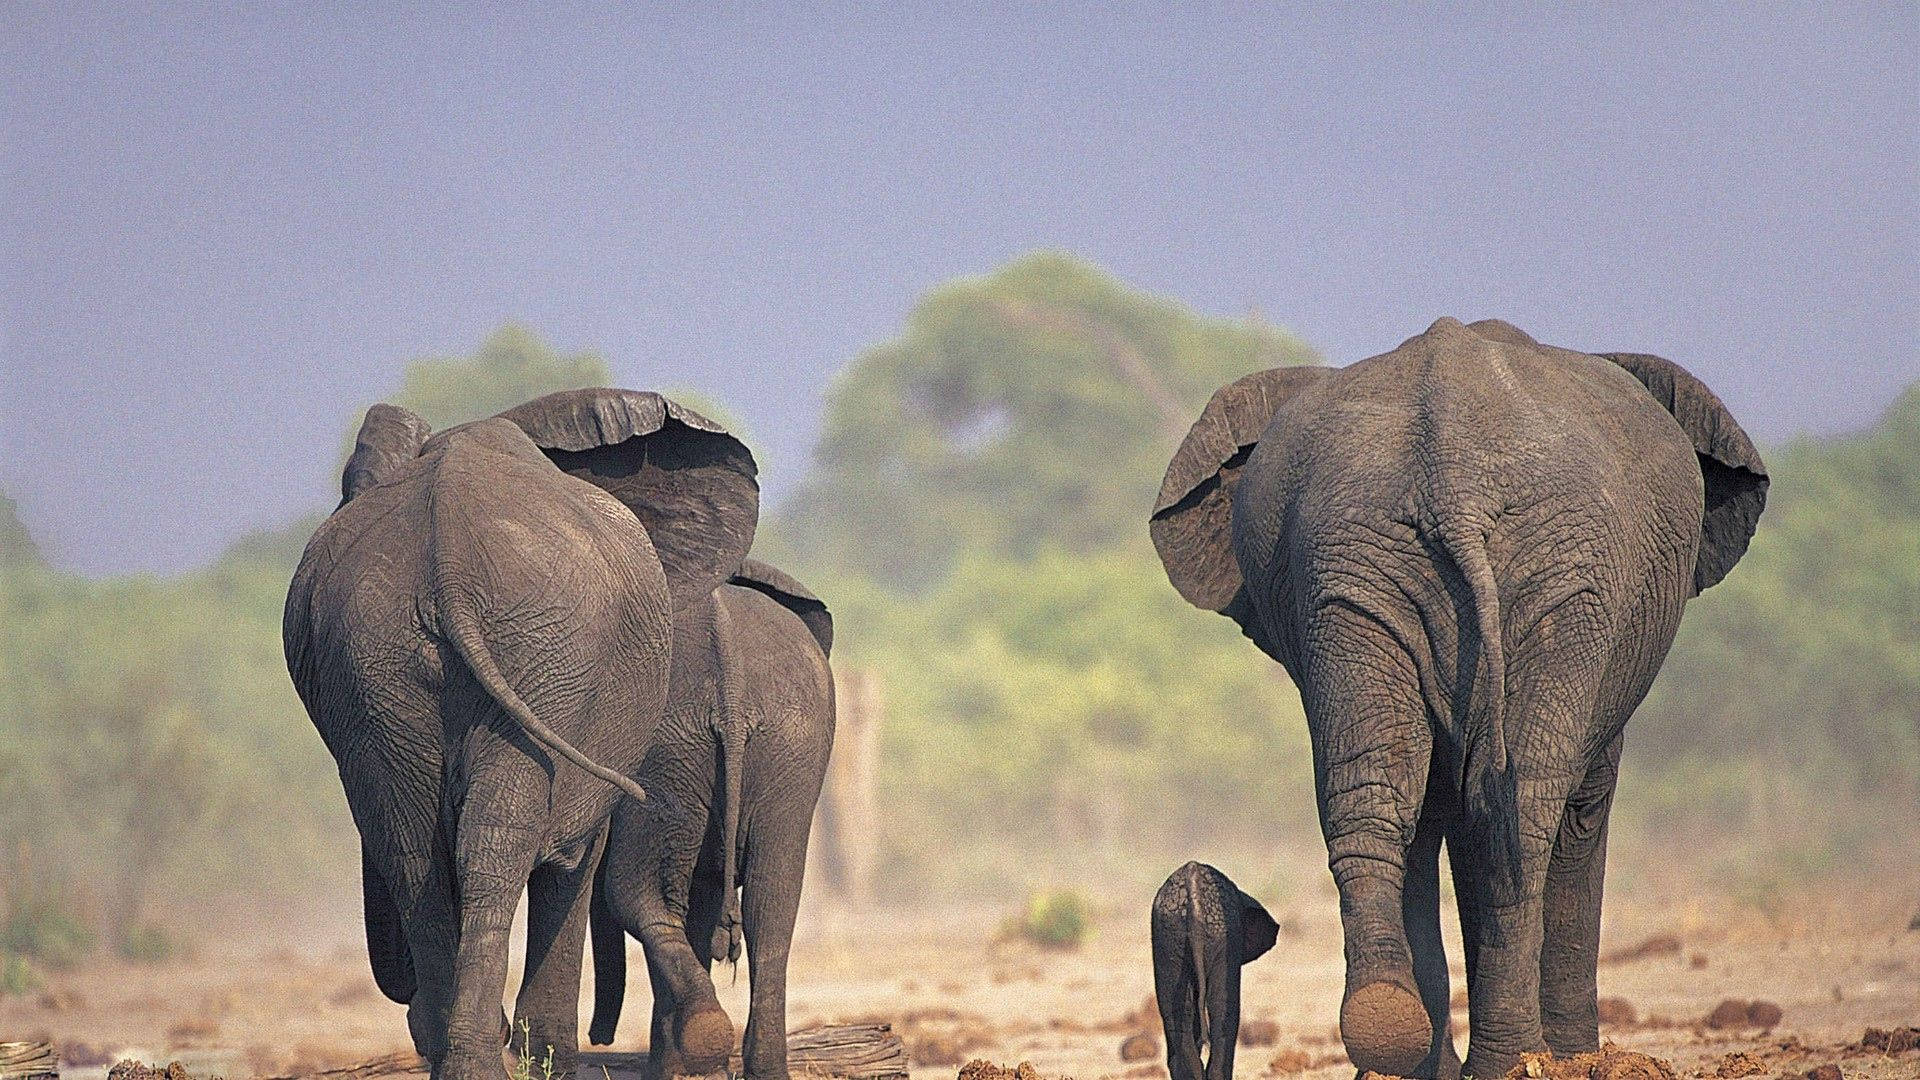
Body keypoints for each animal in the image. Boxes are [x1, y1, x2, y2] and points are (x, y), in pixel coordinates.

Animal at [283, 388, 759, 1080]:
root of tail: (446, 555)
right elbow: (576, 856)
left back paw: (461, 1055)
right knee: (492, 842)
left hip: (383, 662)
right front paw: (549, 1056)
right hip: (535, 655)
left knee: (414, 847)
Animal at [585, 559, 835, 1080]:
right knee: (771, 902)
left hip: (666, 751)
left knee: (637, 893)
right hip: (787, 745)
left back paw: (694, 1045)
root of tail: (732, 687)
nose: (600, 1039)